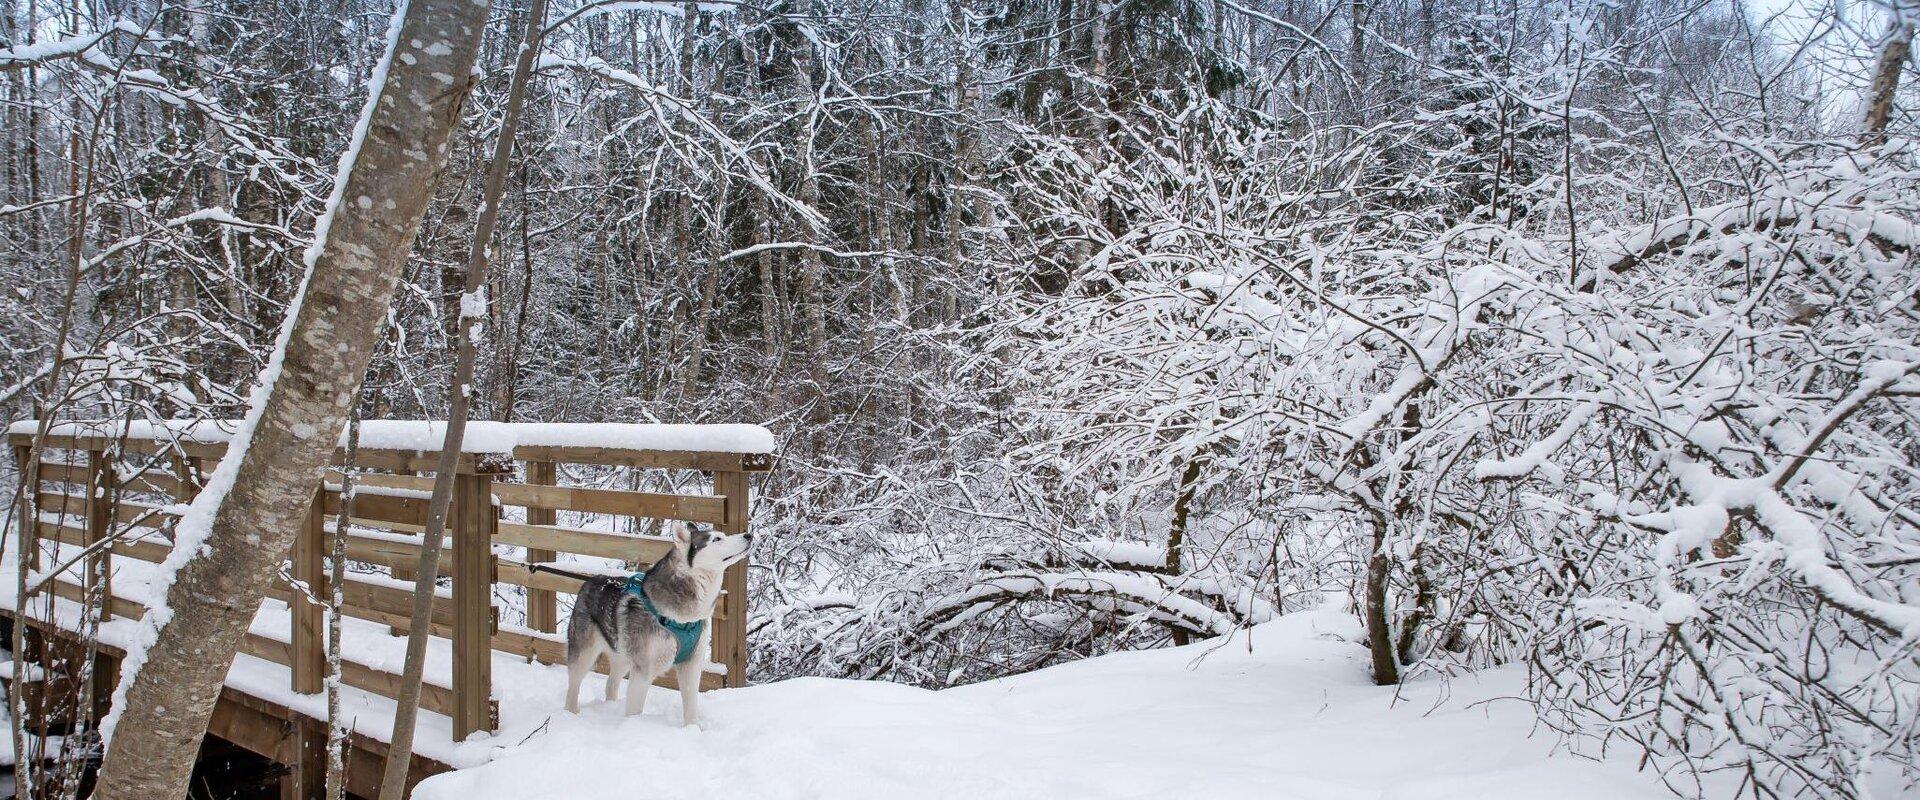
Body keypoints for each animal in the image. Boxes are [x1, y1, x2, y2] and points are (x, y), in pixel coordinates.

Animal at [556, 517, 748, 721]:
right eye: (716, 539)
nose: (749, 535)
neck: (683, 619)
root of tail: (591, 580)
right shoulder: (643, 671)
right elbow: (634, 709)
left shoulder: (691, 666)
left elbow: (691, 708)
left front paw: (692, 727)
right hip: (585, 653)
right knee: (573, 687)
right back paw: (571, 713)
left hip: (623, 656)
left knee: (610, 683)